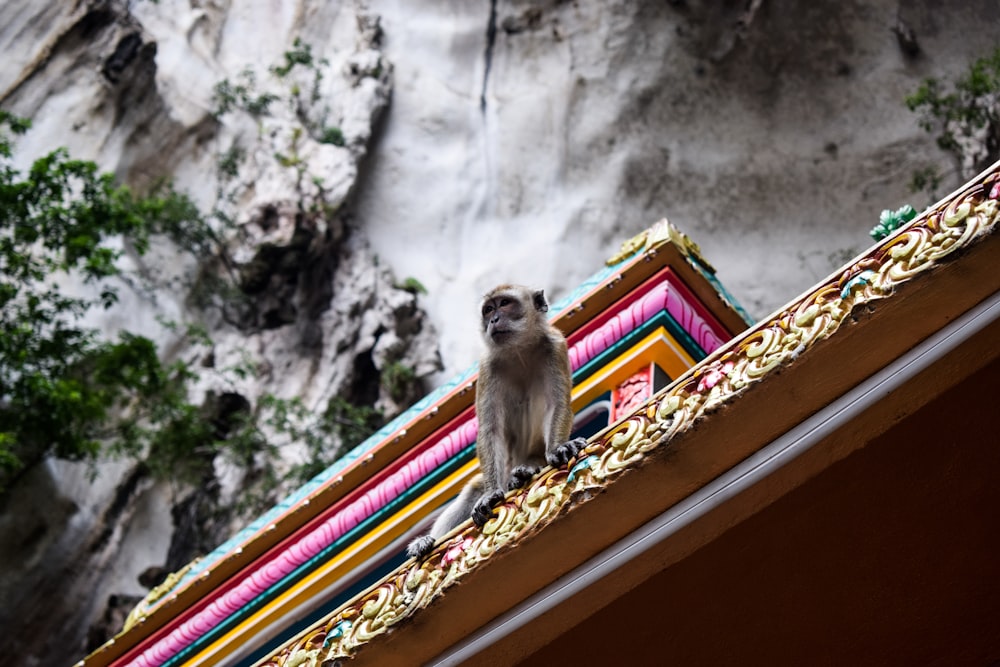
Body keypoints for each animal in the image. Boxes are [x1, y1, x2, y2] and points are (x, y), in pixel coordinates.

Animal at [410, 284, 588, 560]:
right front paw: (490, 495)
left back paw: (524, 473)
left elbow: (557, 404)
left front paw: (560, 448)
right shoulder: (488, 368)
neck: (519, 349)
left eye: (504, 304)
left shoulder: (555, 346)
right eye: (488, 310)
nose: (493, 319)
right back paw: (426, 541)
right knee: (473, 489)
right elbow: (491, 431)